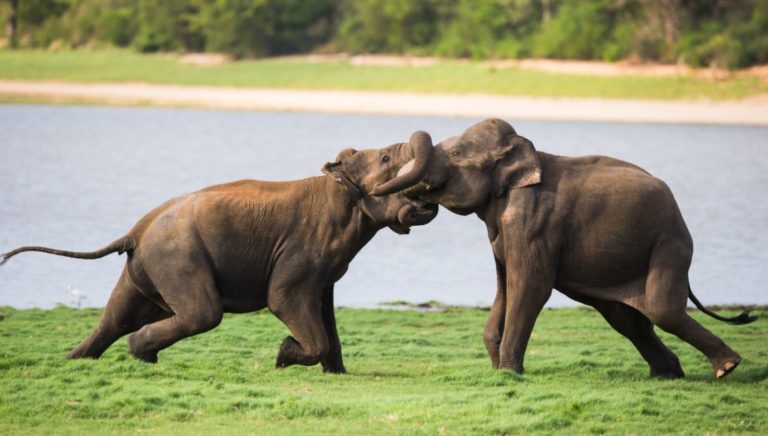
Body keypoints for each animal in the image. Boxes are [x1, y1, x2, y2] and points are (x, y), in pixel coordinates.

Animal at [0, 133, 436, 372]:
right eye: (386, 159)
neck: (336, 186)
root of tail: (136, 230)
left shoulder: (326, 268)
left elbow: (325, 313)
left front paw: (336, 373)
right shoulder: (299, 255)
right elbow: (284, 299)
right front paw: (283, 356)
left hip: (146, 268)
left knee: (115, 319)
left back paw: (94, 359)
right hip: (177, 258)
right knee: (200, 314)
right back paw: (140, 353)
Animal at [378, 118, 756, 378]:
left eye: (456, 153)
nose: (416, 207)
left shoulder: (532, 221)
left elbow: (530, 286)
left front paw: (509, 372)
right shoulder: (501, 231)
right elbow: (505, 286)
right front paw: (498, 368)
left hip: (669, 244)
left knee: (662, 309)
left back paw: (727, 368)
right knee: (626, 318)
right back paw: (669, 374)